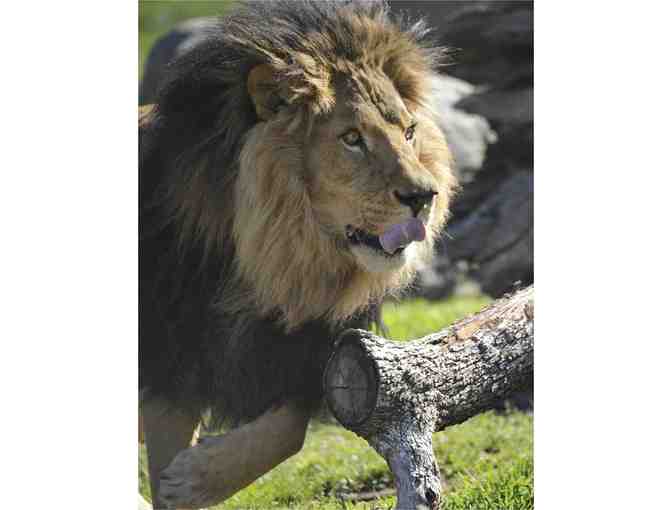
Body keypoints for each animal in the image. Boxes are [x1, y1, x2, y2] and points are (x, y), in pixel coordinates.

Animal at [139, 0, 457, 507]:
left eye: (408, 131)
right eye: (352, 139)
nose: (424, 196)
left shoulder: (303, 352)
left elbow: (290, 429)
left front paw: (194, 478)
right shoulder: (169, 365)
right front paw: (180, 485)